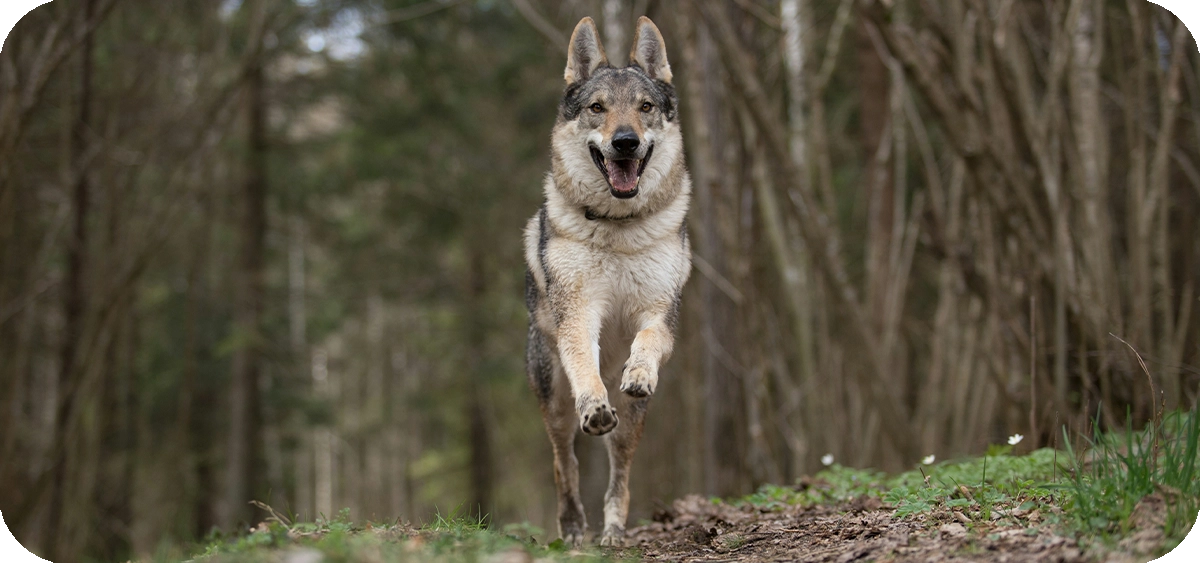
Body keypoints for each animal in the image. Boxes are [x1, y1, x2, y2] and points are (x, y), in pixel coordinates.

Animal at [523, 16, 692, 548]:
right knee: (565, 463)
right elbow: (585, 367)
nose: (625, 142)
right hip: (553, 402)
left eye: (645, 108)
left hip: (632, 425)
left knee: (620, 473)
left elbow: (648, 339)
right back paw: (574, 528)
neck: (619, 226)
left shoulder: (660, 313)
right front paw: (595, 402)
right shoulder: (578, 313)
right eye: (597, 108)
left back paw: (614, 531)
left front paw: (638, 371)